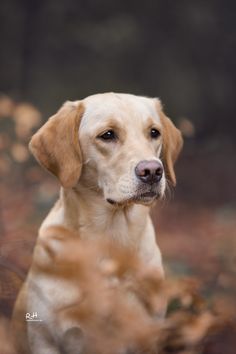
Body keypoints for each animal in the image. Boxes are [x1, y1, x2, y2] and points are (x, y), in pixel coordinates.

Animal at [12, 92, 183, 352]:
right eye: (108, 135)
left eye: (154, 132)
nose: (153, 171)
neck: (109, 237)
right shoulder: (45, 339)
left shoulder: (145, 334)